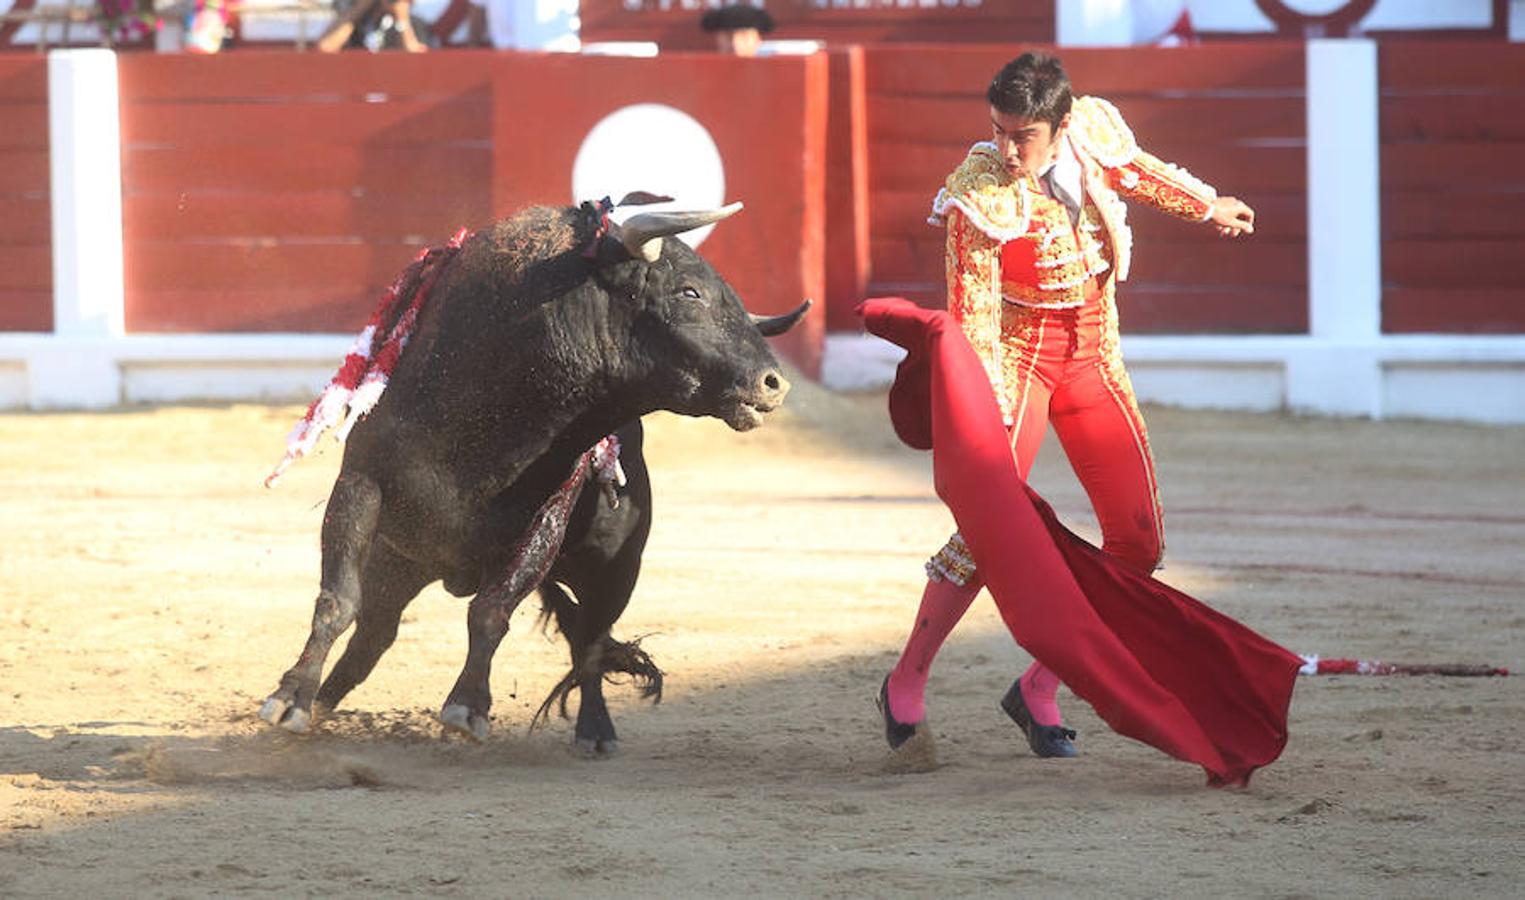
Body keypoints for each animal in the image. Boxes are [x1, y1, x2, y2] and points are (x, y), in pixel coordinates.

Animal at [260, 202, 811, 753]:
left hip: (616, 569)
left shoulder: (545, 521)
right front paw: (290, 698)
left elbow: (491, 611)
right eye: (689, 292)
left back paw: (595, 730)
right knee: (375, 634)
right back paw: (322, 705)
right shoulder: (360, 486)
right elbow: (338, 600)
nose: (774, 384)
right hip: (401, 561)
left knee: (589, 642)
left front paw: (467, 708)